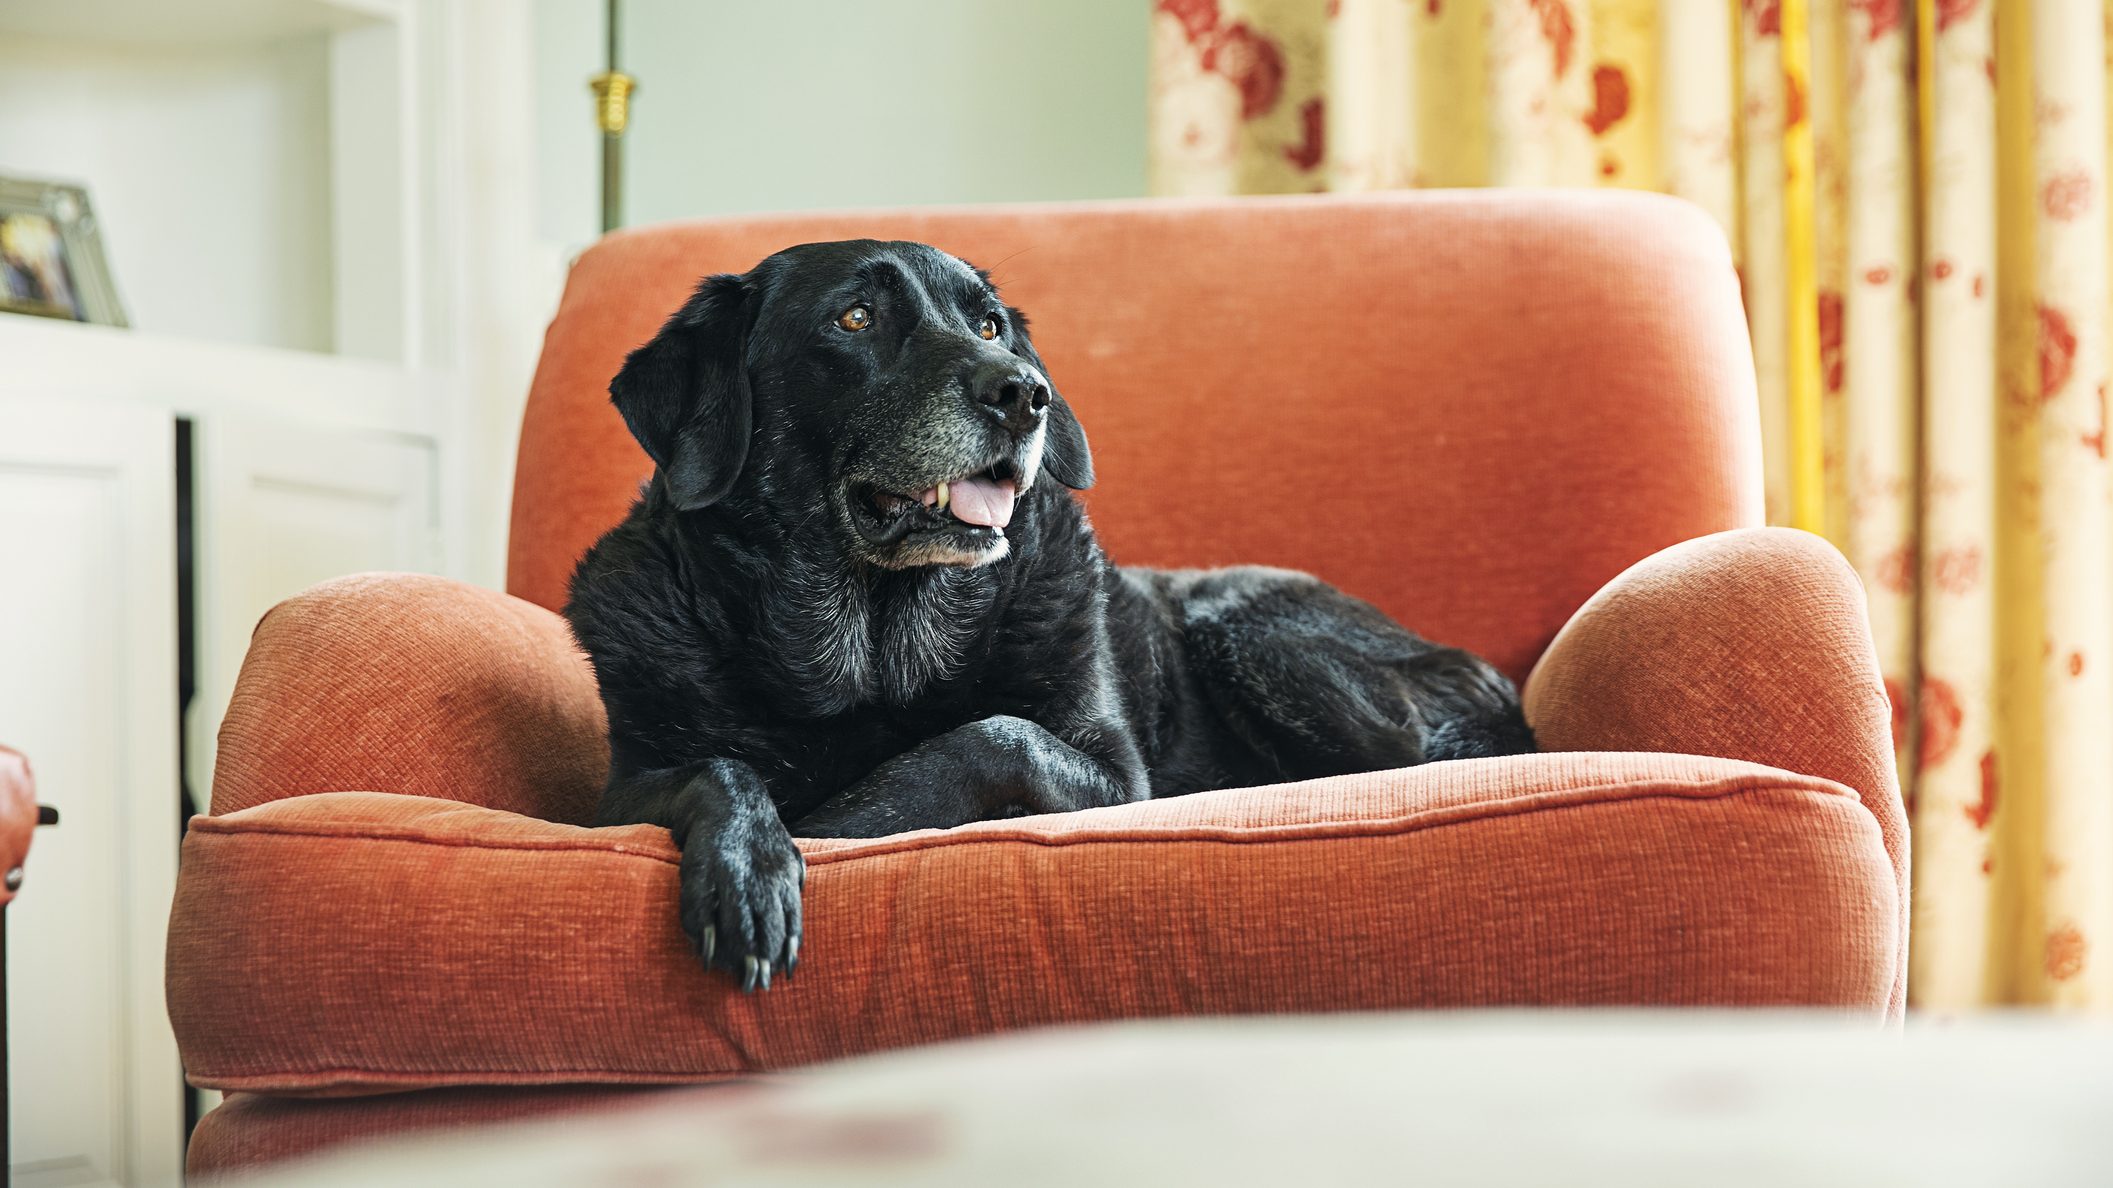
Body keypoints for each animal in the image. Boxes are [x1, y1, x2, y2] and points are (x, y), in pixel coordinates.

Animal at [570, 235, 1529, 985]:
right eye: (854, 319)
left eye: (989, 325)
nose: (1023, 392)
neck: (872, 656)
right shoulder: (609, 796)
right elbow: (717, 769)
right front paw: (750, 863)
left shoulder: (1115, 777)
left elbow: (995, 736)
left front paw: (832, 825)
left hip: (1249, 630)